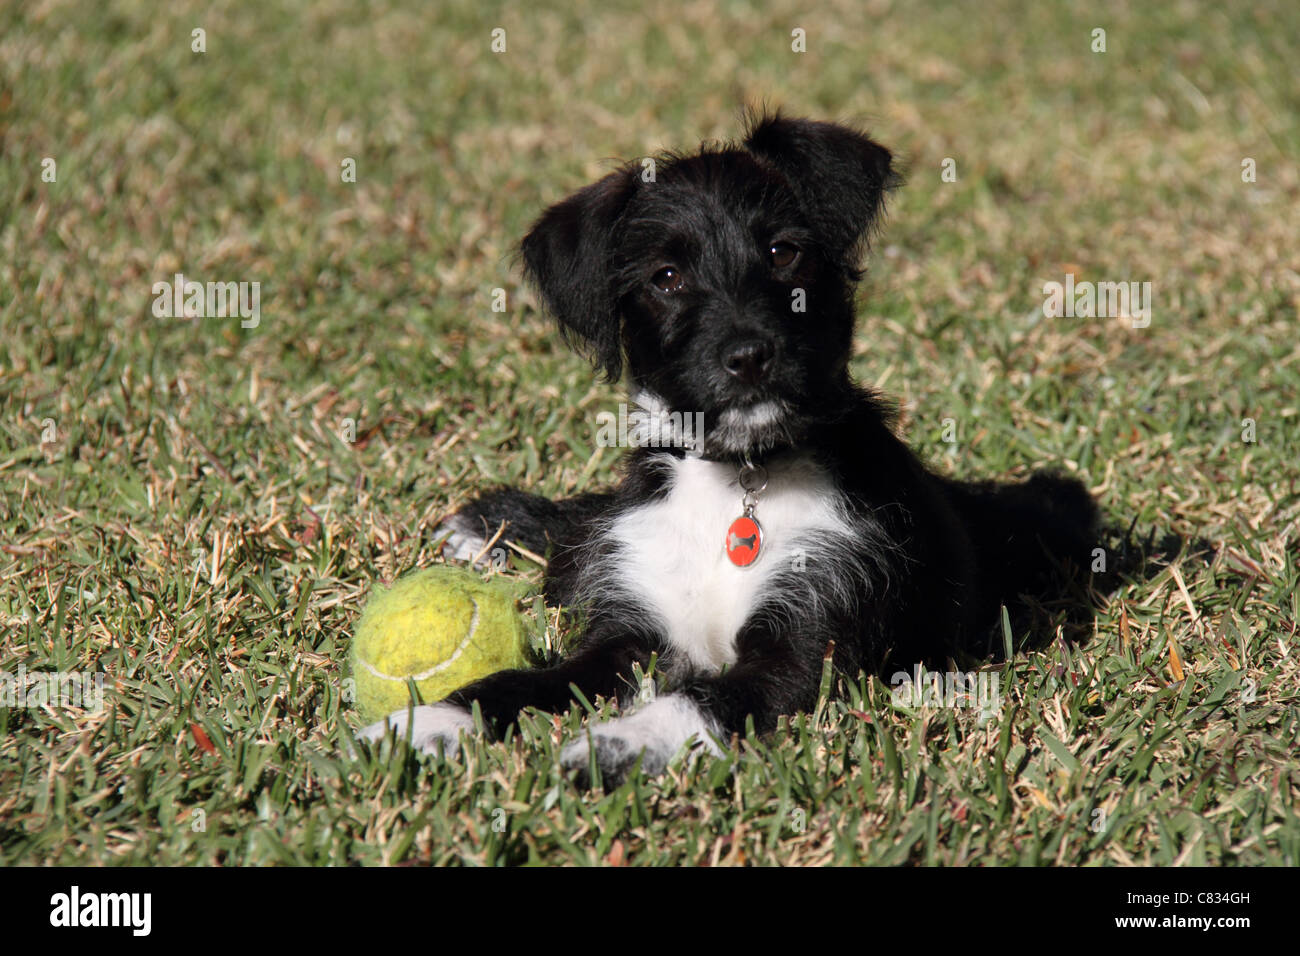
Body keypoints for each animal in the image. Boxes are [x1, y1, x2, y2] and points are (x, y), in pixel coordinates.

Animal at [356, 111, 1097, 785]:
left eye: (783, 252)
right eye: (665, 277)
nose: (748, 356)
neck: (737, 479)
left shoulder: (803, 650)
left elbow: (699, 696)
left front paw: (618, 744)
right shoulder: (627, 633)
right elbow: (516, 681)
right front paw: (426, 722)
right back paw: (497, 527)